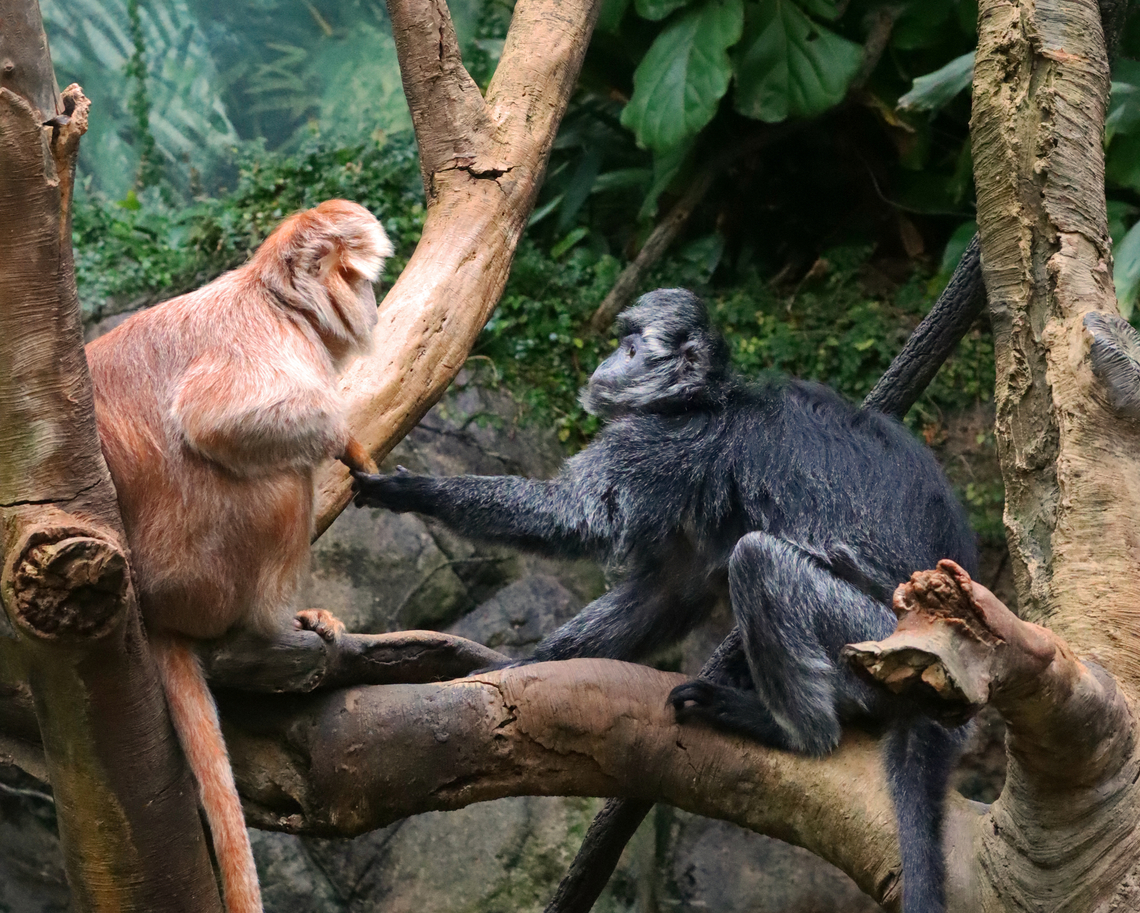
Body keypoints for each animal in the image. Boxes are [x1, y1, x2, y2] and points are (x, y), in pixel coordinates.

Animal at [85, 199, 392, 913]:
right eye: (361, 278)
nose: (374, 298)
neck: (273, 299)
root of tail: (151, 608)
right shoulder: (279, 344)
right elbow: (216, 420)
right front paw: (346, 439)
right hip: (202, 578)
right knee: (279, 477)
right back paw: (275, 623)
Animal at [351, 288, 977, 913]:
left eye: (633, 348)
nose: (609, 360)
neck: (707, 401)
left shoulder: (665, 444)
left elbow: (578, 518)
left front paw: (414, 491)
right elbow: (672, 590)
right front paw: (518, 664)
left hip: (872, 639)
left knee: (758, 559)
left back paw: (793, 731)